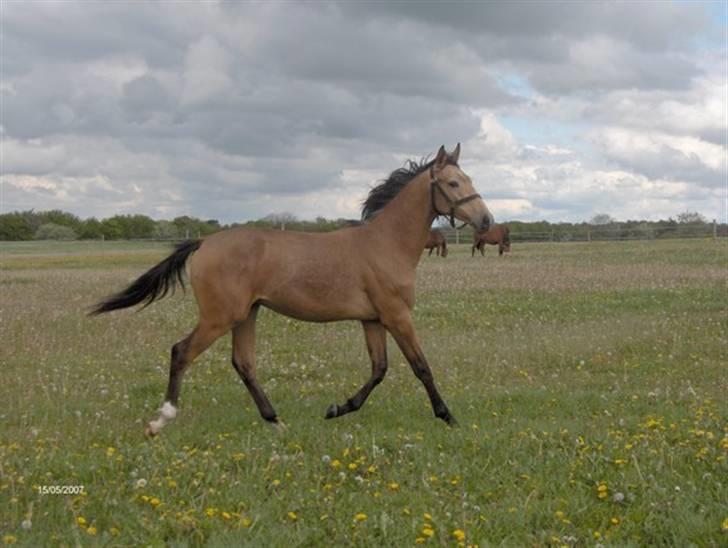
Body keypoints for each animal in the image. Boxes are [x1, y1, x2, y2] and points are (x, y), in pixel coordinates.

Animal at [88, 143, 492, 434]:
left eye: (469, 179)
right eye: (453, 183)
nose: (487, 220)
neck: (386, 243)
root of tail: (204, 243)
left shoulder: (373, 320)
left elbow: (379, 369)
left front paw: (336, 409)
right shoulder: (397, 315)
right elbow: (421, 367)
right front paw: (448, 417)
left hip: (246, 315)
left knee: (243, 363)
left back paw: (275, 420)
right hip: (221, 316)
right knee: (181, 352)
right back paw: (161, 420)